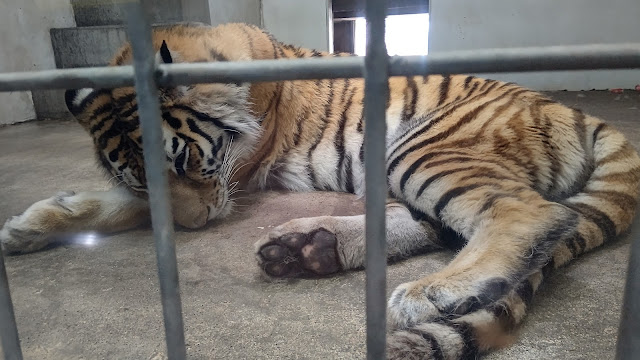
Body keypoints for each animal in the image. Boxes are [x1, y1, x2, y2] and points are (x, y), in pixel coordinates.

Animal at [1, 21, 640, 358]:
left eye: (187, 161)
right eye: (144, 173)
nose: (193, 228)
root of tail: (577, 111)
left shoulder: (238, 177)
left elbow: (131, 212)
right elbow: (118, 204)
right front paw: (28, 228)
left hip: (423, 146)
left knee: (532, 213)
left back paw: (428, 293)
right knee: (438, 223)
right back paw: (314, 247)